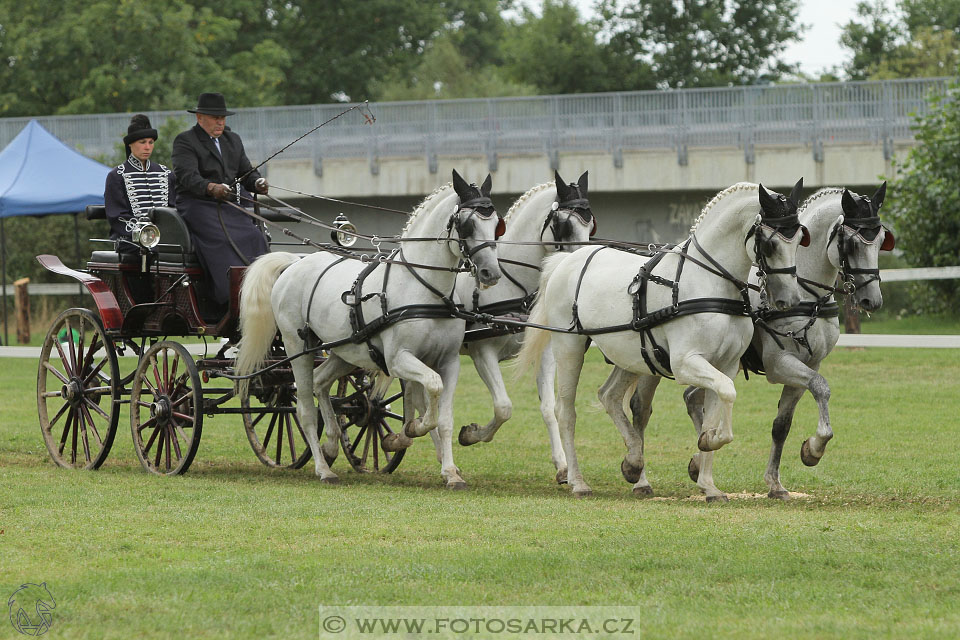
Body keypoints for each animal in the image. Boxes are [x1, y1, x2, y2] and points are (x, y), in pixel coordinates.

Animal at [236, 172, 502, 488]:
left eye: (496, 224)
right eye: (467, 224)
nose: (491, 273)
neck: (425, 288)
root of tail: (294, 263)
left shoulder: (449, 361)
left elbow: (444, 416)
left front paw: (450, 472)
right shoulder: (398, 359)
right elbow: (431, 393)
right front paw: (413, 428)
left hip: (343, 350)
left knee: (320, 382)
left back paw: (331, 445)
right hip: (296, 345)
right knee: (304, 407)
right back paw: (323, 469)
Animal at [448, 170, 592, 480]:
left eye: (591, 225)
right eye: (564, 225)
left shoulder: (546, 353)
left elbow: (549, 408)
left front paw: (563, 466)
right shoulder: (482, 354)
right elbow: (504, 407)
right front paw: (471, 434)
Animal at [520, 180, 808, 500]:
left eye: (799, 239)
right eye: (770, 243)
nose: (789, 300)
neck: (709, 282)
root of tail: (565, 260)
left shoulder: (726, 364)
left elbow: (718, 402)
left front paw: (708, 479)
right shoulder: (685, 364)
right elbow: (727, 393)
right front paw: (711, 442)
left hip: (629, 354)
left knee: (609, 396)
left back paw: (633, 462)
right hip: (569, 347)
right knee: (565, 411)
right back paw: (578, 481)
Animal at [684, 182, 892, 498]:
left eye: (881, 241)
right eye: (852, 244)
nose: (872, 300)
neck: (806, 296)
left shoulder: (810, 364)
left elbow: (783, 424)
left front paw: (776, 483)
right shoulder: (779, 364)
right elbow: (821, 387)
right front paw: (814, 449)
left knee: (693, 397)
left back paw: (699, 460)